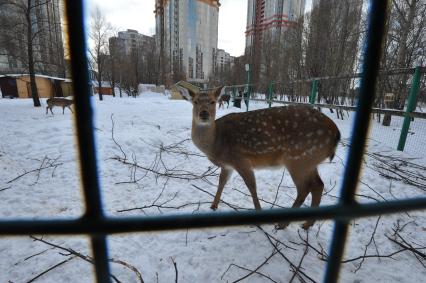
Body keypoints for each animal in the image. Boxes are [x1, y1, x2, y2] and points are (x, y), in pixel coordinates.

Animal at [181, 85, 342, 230]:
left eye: (213, 101)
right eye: (195, 101)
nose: (204, 114)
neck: (217, 143)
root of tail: (336, 132)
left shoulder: (241, 160)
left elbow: (251, 186)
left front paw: (258, 213)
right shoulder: (228, 165)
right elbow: (222, 182)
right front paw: (213, 206)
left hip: (297, 158)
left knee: (304, 188)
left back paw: (283, 224)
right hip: (310, 160)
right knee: (318, 185)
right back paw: (307, 224)